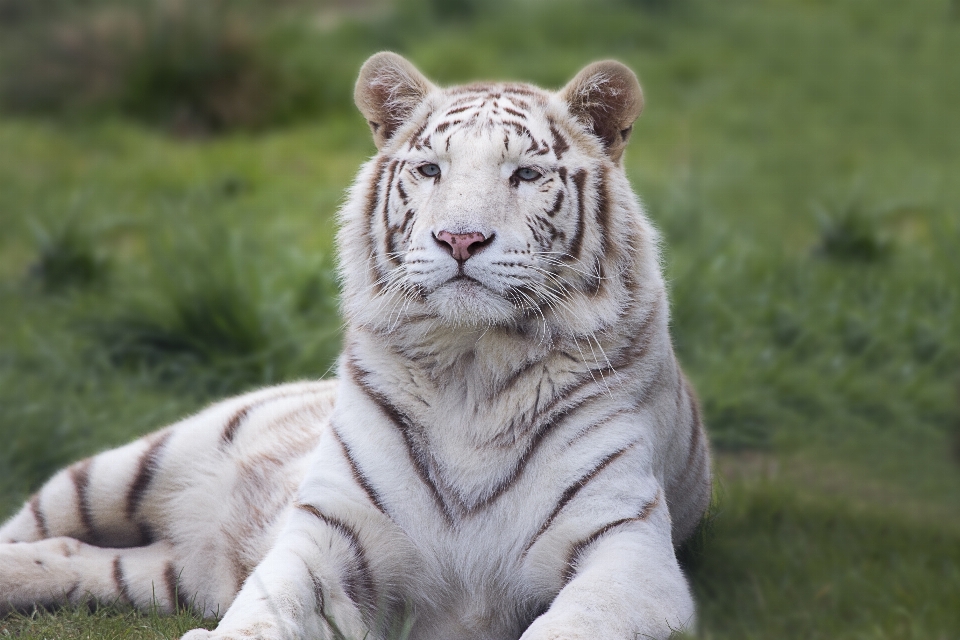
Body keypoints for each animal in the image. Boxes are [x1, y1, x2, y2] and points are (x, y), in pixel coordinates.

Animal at [0, 53, 708, 640]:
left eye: (526, 174)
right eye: (430, 169)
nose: (460, 239)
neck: (474, 367)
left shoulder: (627, 552)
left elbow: (573, 625)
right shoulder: (330, 534)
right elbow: (269, 605)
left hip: (161, 572)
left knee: (74, 556)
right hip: (127, 468)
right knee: (35, 526)